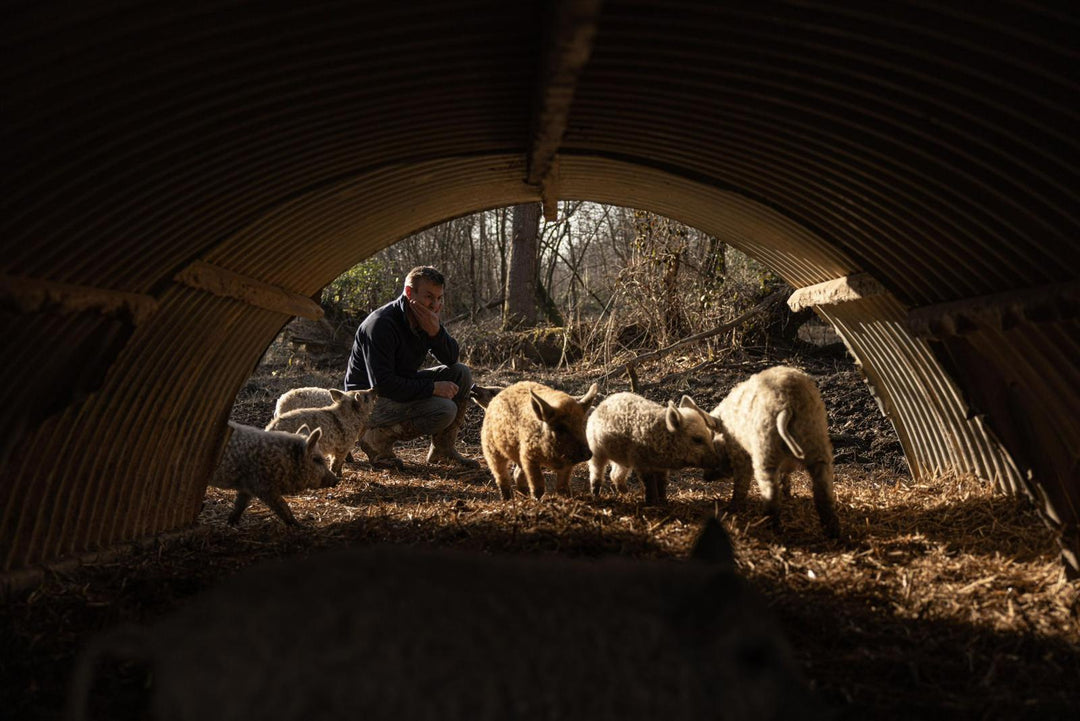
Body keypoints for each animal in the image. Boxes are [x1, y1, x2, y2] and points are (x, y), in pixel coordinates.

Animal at [204, 418, 334, 526]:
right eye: (316, 459)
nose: (336, 479)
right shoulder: (263, 486)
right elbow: (282, 506)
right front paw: (300, 526)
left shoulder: (247, 488)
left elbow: (241, 505)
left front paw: (231, 523)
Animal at [591, 390, 725, 505]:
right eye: (697, 439)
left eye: (710, 435)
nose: (718, 460)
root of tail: (602, 403)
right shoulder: (641, 462)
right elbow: (649, 483)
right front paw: (651, 503)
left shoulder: (661, 468)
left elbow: (662, 483)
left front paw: (664, 501)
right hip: (596, 450)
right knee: (597, 471)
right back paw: (596, 495)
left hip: (623, 459)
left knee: (615, 474)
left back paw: (627, 493)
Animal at [708, 366, 842, 535]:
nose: (705, 477)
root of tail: (786, 402)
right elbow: (785, 477)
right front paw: (789, 494)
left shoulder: (739, 453)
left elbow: (741, 482)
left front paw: (731, 509)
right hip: (817, 440)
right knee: (823, 489)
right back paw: (833, 531)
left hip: (765, 449)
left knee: (770, 490)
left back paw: (771, 526)